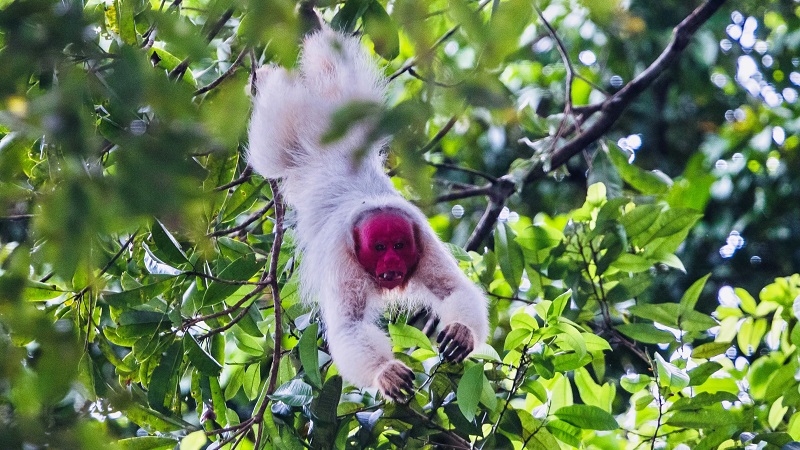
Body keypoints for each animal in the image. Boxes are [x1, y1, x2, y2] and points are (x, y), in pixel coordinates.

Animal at [247, 27, 490, 400]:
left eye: (399, 246)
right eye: (379, 248)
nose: (391, 264)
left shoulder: (423, 237)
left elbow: (454, 290)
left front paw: (462, 332)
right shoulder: (341, 258)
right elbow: (350, 327)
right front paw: (384, 372)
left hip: (351, 104)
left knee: (332, 66)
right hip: (282, 127)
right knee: (272, 139)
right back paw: (269, 77)